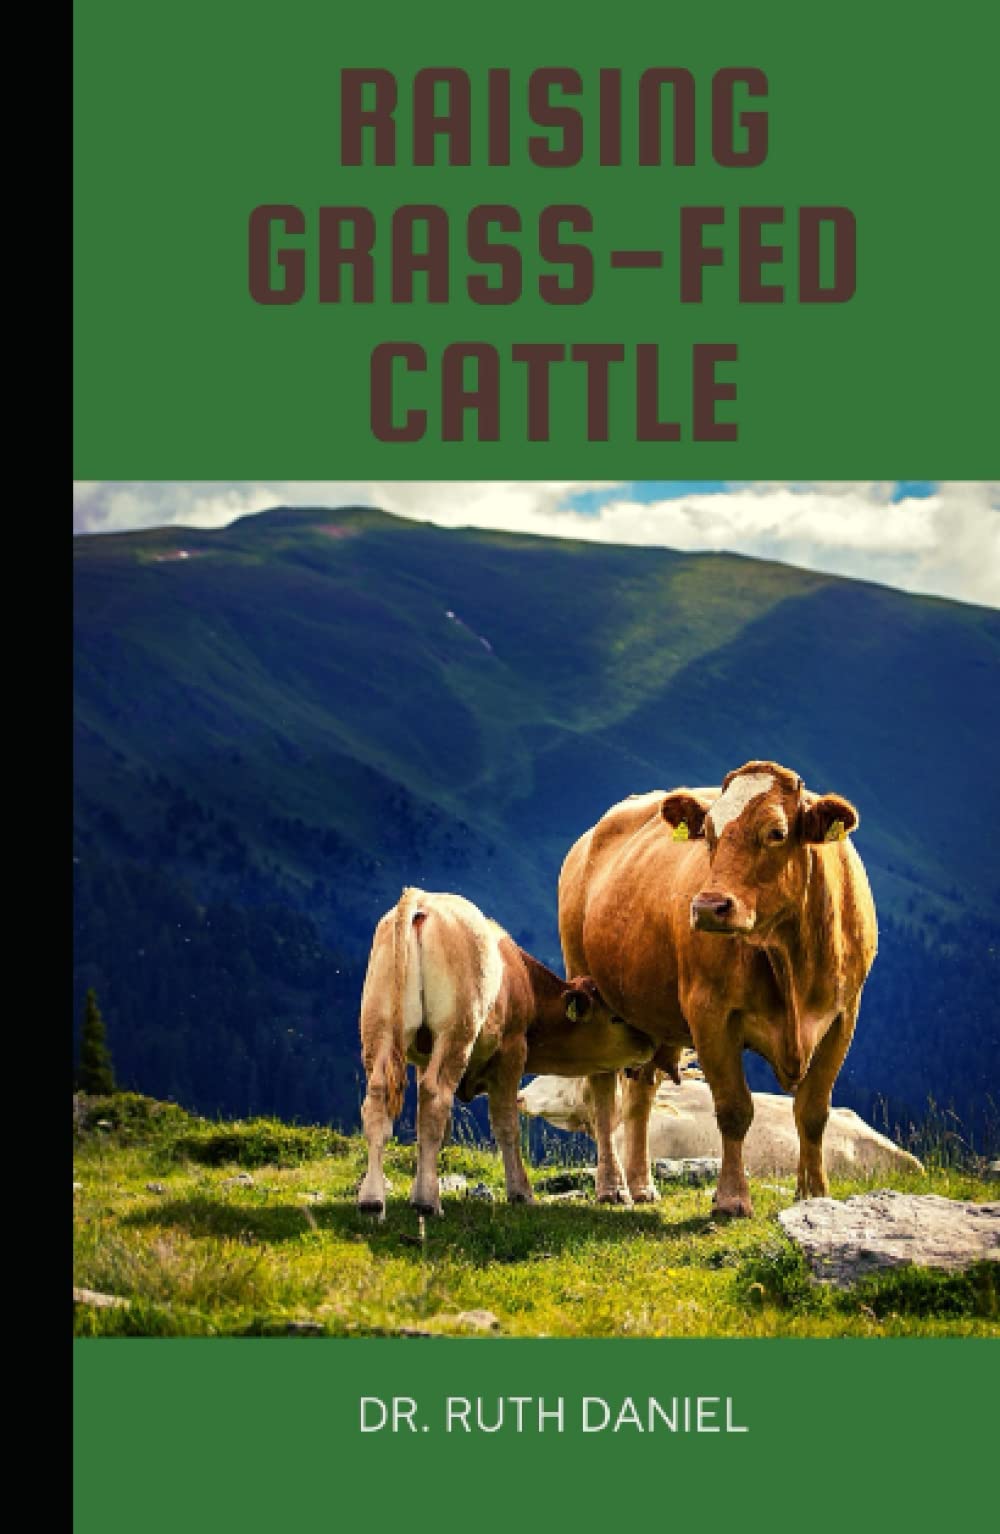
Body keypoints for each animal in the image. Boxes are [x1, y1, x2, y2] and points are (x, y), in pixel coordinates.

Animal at [357, 886, 655, 1217]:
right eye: (616, 1018)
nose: (650, 1042)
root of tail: (423, 900)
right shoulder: (513, 1051)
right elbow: (506, 1123)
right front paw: (520, 1191)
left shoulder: (424, 1058)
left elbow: (436, 1129)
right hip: (456, 1032)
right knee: (435, 1097)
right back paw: (427, 1203)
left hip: (378, 1028)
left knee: (378, 1099)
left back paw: (372, 1200)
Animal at [558, 761, 878, 1216]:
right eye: (708, 832)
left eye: (776, 832)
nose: (709, 906)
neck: (790, 958)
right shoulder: (710, 1013)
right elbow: (733, 1109)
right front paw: (731, 1199)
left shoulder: (843, 1016)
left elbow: (813, 1110)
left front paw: (814, 1194)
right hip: (588, 987)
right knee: (604, 1092)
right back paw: (613, 1187)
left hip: (648, 1015)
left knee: (641, 1094)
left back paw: (641, 1184)